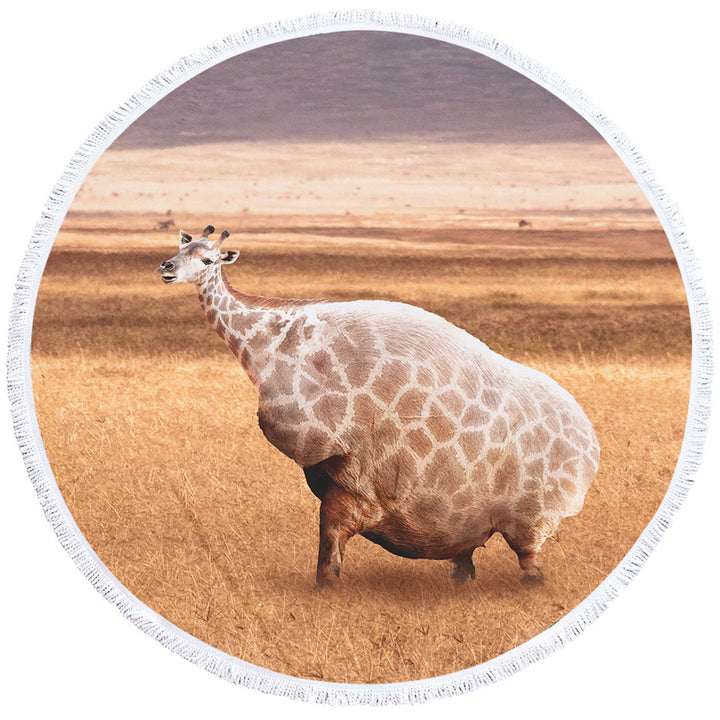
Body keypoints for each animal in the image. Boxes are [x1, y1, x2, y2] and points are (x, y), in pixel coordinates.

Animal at [157, 225, 600, 587]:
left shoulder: (339, 463)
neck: (270, 348)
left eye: (209, 259)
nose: (165, 267)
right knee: (465, 564)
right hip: (473, 528)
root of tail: (590, 445)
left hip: (531, 520)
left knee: (531, 568)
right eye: (180, 248)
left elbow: (328, 567)